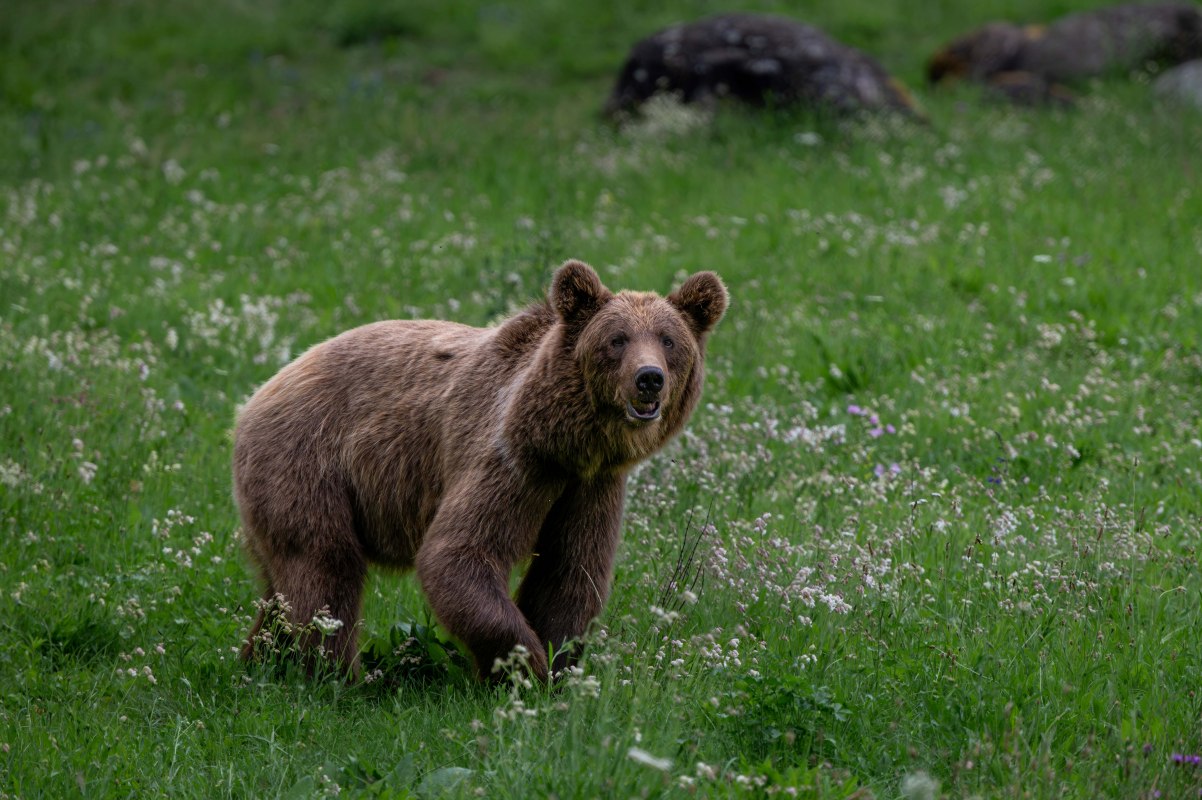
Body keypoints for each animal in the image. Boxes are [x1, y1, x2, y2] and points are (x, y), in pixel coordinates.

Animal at [233, 259, 728, 681]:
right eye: (618, 338)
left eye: (668, 339)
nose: (649, 379)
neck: (566, 442)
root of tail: (255, 396)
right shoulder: (511, 461)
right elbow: (459, 554)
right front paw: (527, 668)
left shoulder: (590, 486)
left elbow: (570, 572)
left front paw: (558, 666)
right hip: (307, 459)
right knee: (323, 568)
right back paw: (335, 674)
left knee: (281, 582)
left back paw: (262, 660)